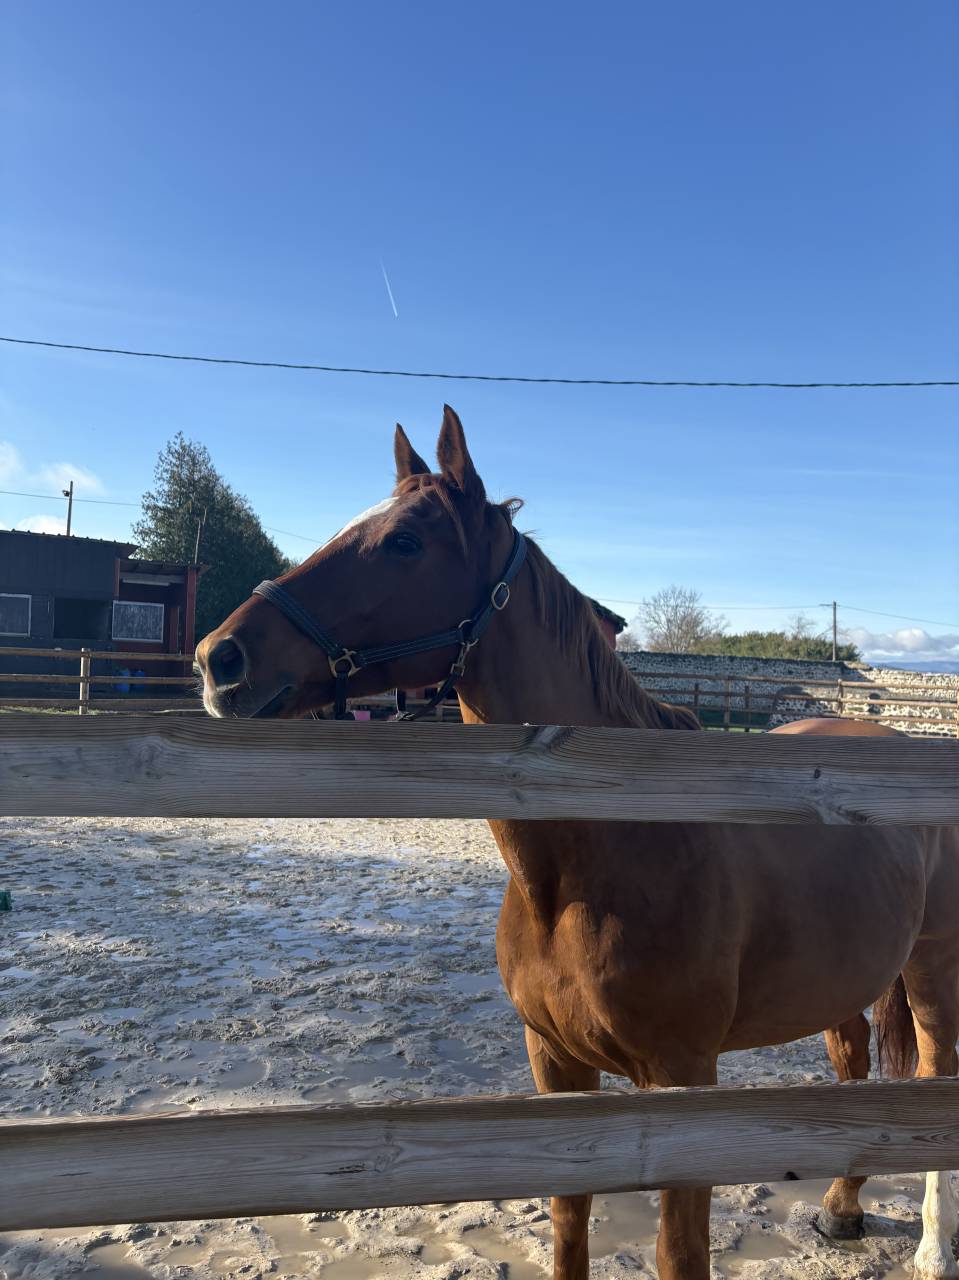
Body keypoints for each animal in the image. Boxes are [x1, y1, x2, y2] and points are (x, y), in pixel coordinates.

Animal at [196, 406, 959, 1280]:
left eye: (404, 542)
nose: (219, 660)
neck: (607, 854)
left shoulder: (683, 1082)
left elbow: (678, 1252)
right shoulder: (555, 1065)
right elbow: (567, 1222)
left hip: (932, 968)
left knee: (933, 1072)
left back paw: (931, 1246)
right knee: (854, 1064)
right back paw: (840, 1207)